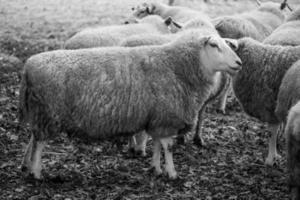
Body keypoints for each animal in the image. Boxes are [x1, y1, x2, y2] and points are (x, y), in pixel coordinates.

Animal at [19, 30, 241, 180]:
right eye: (214, 46)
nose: (239, 63)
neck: (177, 66)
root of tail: (29, 66)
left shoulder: (158, 118)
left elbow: (157, 144)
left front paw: (156, 168)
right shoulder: (167, 117)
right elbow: (168, 147)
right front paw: (171, 172)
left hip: (40, 113)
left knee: (34, 139)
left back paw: (28, 167)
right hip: (48, 114)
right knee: (40, 144)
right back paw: (37, 172)